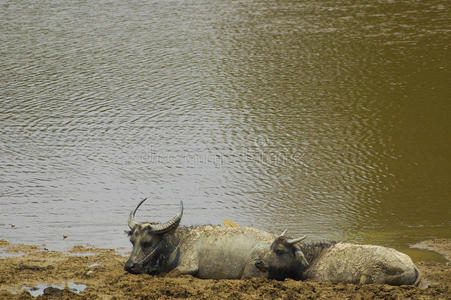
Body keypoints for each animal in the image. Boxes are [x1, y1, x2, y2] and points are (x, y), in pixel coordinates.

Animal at [123, 199, 308, 278]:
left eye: (148, 242)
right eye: (132, 241)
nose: (129, 266)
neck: (176, 244)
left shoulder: (189, 266)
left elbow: (170, 274)